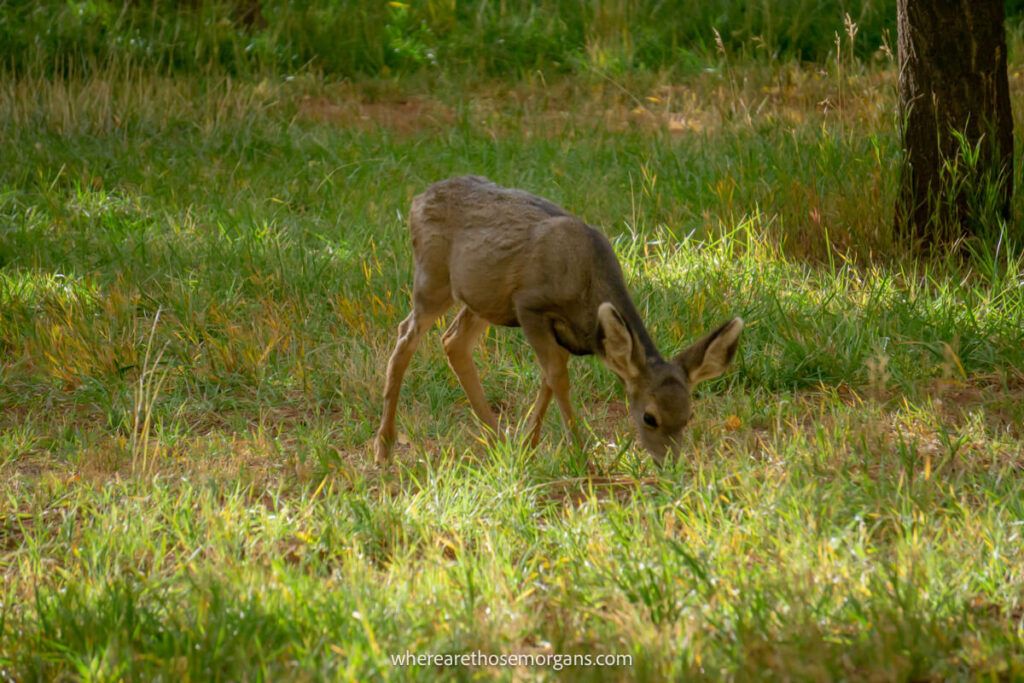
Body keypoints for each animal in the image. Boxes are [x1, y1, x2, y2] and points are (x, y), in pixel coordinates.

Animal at [376, 176, 745, 464]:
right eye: (649, 417)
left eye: (688, 416)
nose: (669, 463)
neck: (586, 288)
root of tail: (417, 201)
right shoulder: (530, 305)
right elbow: (557, 376)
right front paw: (582, 455)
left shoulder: (563, 332)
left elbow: (547, 379)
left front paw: (528, 445)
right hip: (433, 278)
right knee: (405, 337)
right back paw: (385, 448)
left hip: (482, 298)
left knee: (453, 341)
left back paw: (498, 439)